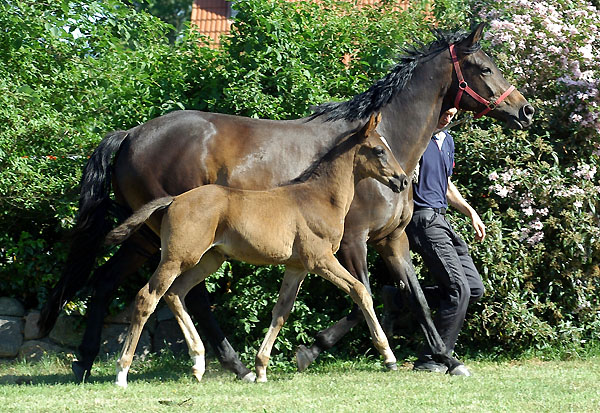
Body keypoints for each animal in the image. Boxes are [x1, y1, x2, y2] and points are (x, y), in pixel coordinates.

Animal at [105, 113, 410, 386]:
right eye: (379, 150)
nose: (403, 180)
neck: (319, 197)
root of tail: (174, 200)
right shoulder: (319, 259)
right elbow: (361, 291)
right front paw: (388, 356)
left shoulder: (296, 266)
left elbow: (281, 311)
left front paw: (261, 368)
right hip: (177, 257)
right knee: (147, 297)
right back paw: (122, 372)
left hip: (209, 260)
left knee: (175, 293)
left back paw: (199, 363)